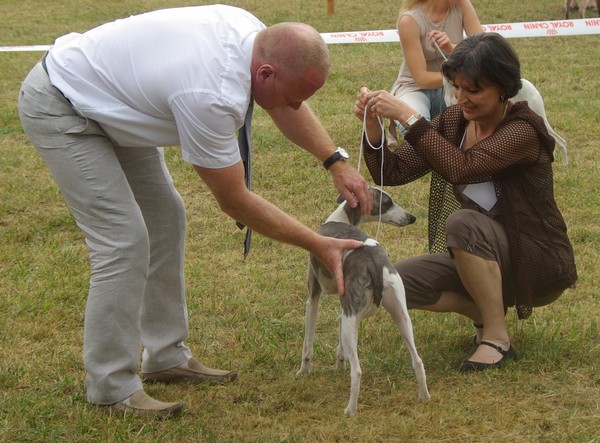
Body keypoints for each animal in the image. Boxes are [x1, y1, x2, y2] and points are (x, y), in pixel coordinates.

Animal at [296, 187, 428, 416]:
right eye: (388, 203)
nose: (412, 217)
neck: (340, 218)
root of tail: (374, 263)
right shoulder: (343, 308)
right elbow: (340, 345)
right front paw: (340, 364)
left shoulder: (313, 297)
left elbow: (308, 343)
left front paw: (303, 372)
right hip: (400, 315)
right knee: (417, 360)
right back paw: (424, 398)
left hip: (353, 319)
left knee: (357, 371)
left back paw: (350, 411)